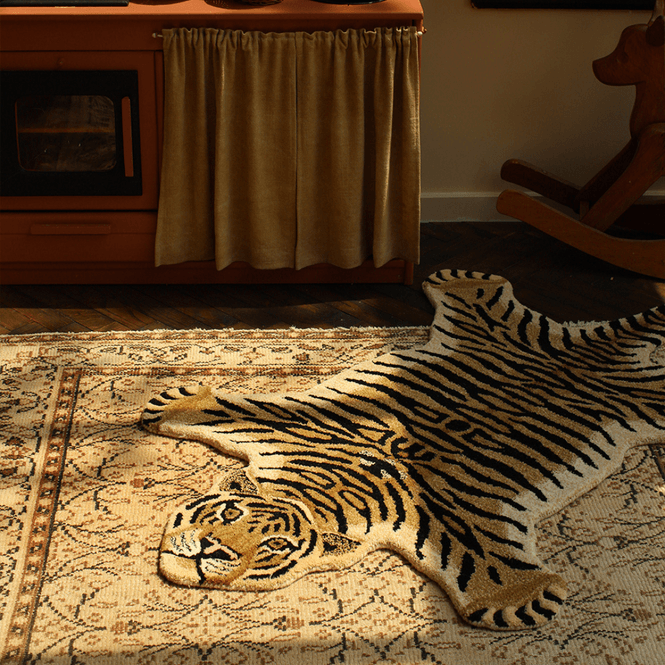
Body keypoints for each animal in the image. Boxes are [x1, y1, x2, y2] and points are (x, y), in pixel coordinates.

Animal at [141, 269, 665, 631]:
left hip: (646, 403)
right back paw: (461, 280)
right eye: (229, 513)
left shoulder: (449, 514)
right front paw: (177, 403)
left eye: (276, 546)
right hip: (487, 329)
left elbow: (484, 559)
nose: (211, 549)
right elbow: (225, 408)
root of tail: (590, 347)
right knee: (485, 300)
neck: (323, 492)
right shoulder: (290, 425)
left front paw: (520, 597)